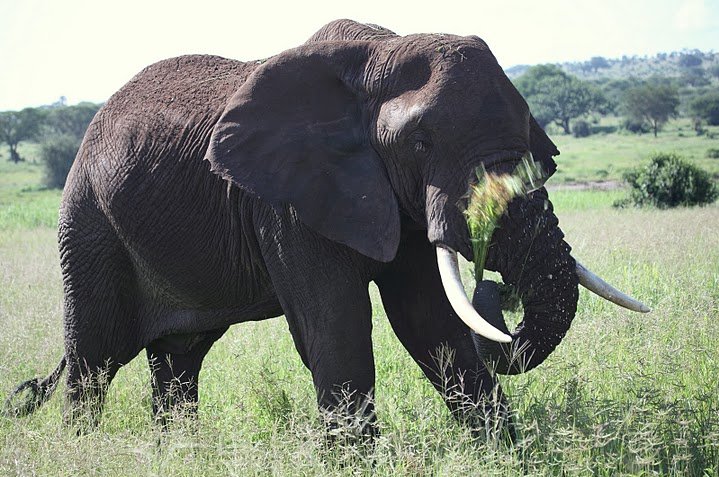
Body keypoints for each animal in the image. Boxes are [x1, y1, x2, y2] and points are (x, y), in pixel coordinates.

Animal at [4, 19, 648, 438]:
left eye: (532, 139)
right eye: (420, 144)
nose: (496, 288)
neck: (377, 54)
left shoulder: (394, 201)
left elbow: (429, 322)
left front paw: (506, 453)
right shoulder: (289, 202)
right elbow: (336, 327)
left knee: (178, 361)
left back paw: (176, 451)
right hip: (88, 223)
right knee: (93, 361)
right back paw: (85, 449)